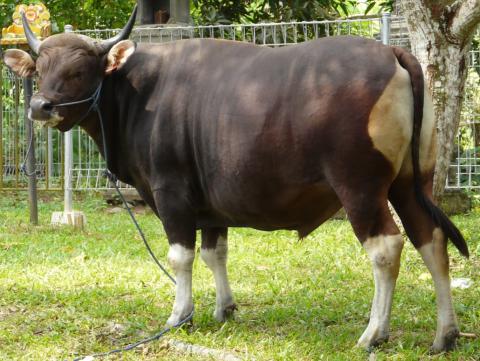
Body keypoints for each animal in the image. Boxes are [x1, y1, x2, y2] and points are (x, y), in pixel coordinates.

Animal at [3, 6, 468, 352]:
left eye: (80, 70)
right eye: (40, 69)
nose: (40, 106)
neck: (136, 92)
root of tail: (393, 54)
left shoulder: (171, 194)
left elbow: (181, 257)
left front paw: (180, 315)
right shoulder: (210, 206)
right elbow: (215, 254)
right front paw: (223, 309)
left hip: (361, 188)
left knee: (387, 247)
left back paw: (374, 333)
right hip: (411, 183)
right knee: (431, 239)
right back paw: (445, 334)